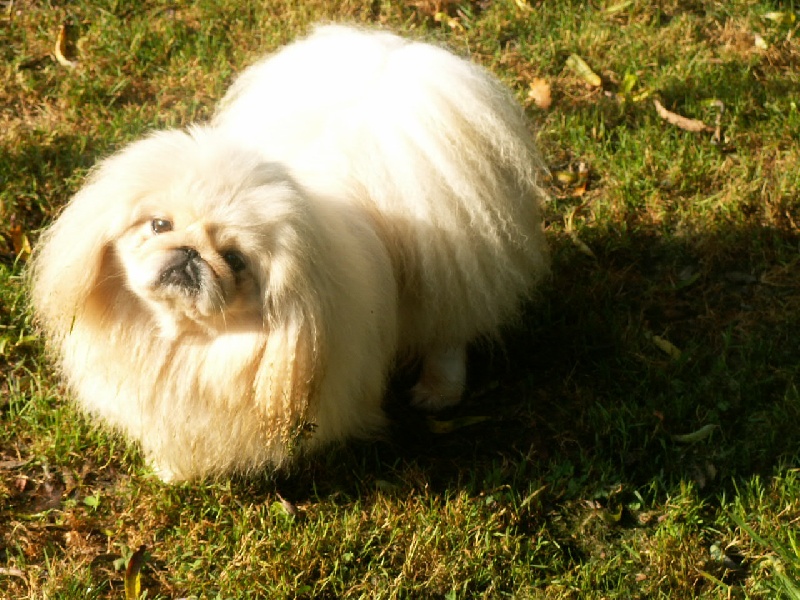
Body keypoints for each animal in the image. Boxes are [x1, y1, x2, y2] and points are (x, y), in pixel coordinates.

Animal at [29, 25, 550, 481]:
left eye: (235, 260)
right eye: (159, 225)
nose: (190, 253)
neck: (183, 340)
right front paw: (171, 471)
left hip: (443, 279)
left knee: (448, 336)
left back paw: (439, 391)